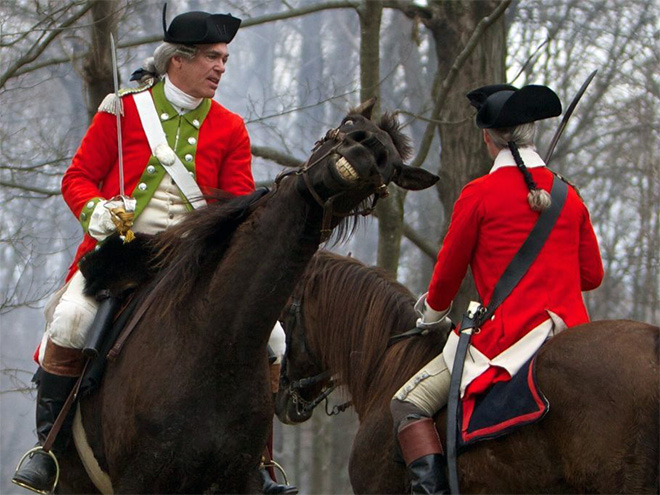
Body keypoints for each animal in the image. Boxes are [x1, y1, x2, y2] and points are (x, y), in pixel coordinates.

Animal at [54, 101, 440, 495]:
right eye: (349, 123)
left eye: (391, 167)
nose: (367, 147)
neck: (216, 339)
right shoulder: (140, 480)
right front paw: (108, 216)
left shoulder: (240, 480)